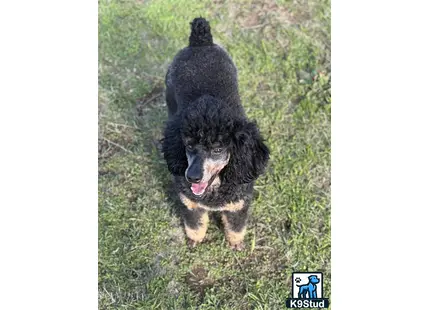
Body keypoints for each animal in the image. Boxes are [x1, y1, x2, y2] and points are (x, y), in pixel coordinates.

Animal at [161, 17, 268, 249]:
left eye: (218, 149)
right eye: (189, 145)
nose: (192, 177)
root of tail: (200, 42)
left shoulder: (238, 205)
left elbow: (236, 228)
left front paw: (235, 244)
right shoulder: (190, 203)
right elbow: (195, 225)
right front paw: (194, 240)